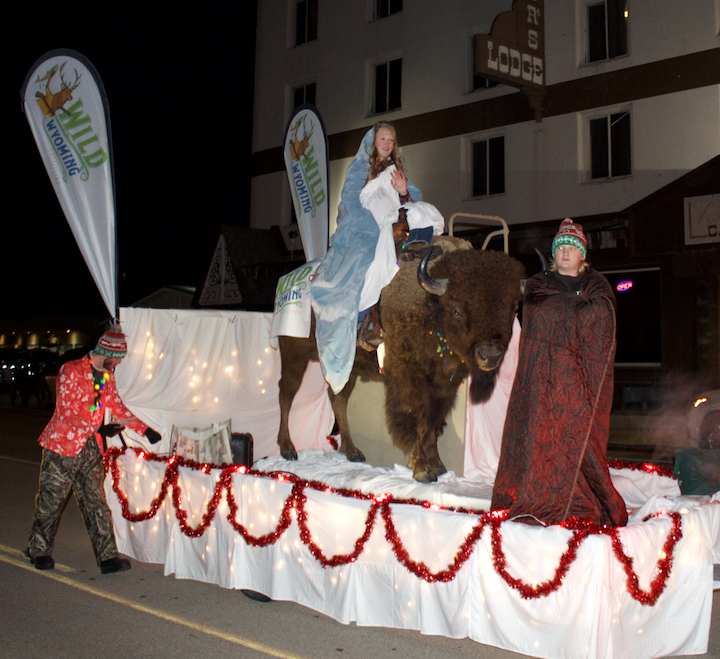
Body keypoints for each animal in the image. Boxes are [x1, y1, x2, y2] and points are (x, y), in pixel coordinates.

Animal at [276, 235, 525, 482]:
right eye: (456, 309)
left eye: (512, 309)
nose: (490, 356)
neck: (431, 306)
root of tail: (289, 278)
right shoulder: (410, 379)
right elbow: (417, 419)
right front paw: (422, 468)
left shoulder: (444, 386)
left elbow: (433, 424)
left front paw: (438, 465)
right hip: (294, 352)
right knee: (287, 393)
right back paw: (288, 448)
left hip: (347, 370)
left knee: (338, 398)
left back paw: (352, 451)